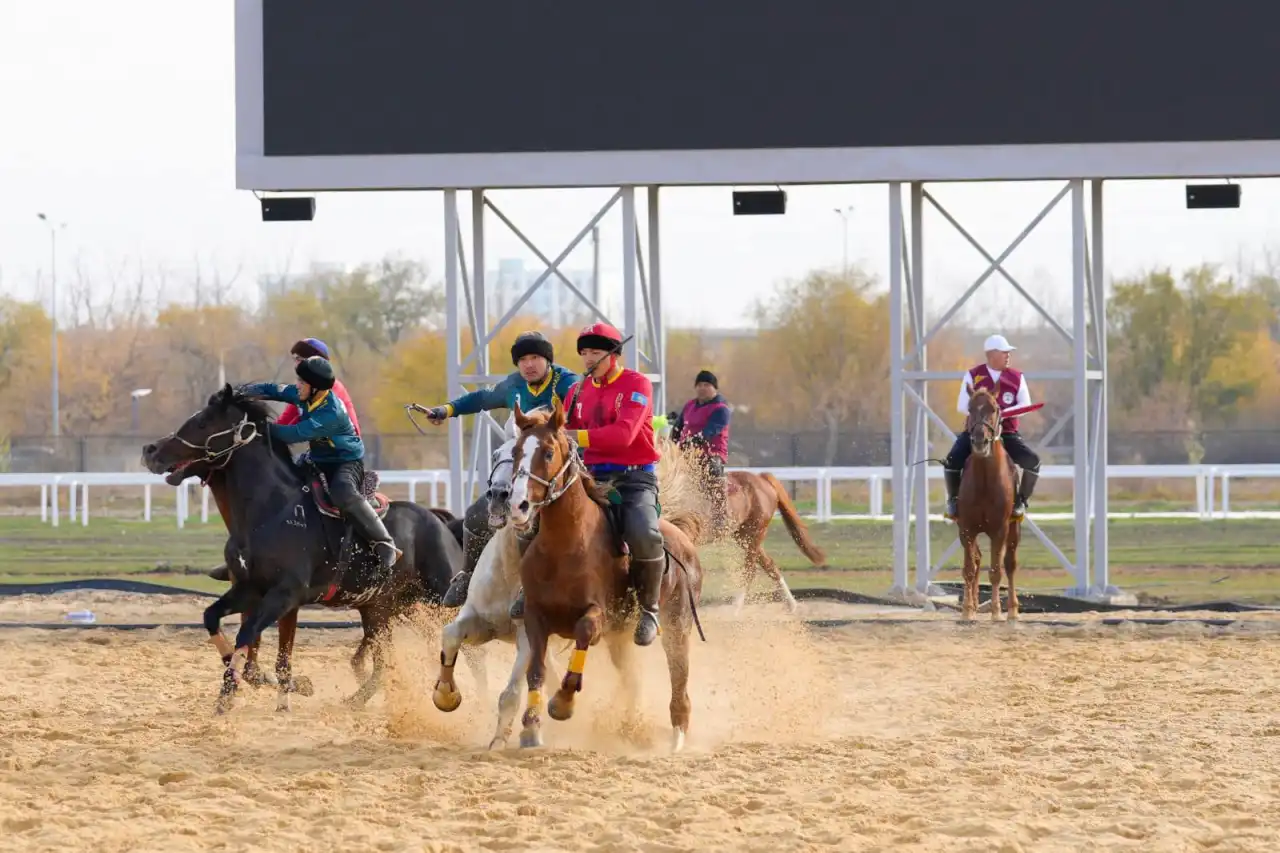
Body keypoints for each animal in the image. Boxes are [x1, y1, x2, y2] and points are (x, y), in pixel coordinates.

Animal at [141, 384, 471, 712]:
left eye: (203, 422)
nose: (150, 450)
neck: (269, 512)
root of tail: (440, 523)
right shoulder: (250, 589)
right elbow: (214, 620)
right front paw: (232, 690)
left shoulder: (285, 595)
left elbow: (251, 637)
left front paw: (279, 686)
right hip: (380, 609)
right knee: (383, 663)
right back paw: (354, 700)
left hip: (439, 601)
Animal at [504, 399, 706, 753]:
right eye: (516, 451)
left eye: (547, 452)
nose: (519, 506)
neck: (564, 544)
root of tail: (682, 537)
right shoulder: (534, 616)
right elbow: (536, 671)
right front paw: (530, 727)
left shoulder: (598, 615)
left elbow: (582, 634)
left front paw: (563, 703)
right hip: (620, 640)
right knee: (632, 680)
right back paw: (630, 726)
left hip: (677, 627)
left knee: (679, 678)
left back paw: (677, 737)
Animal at [957, 384, 1024, 617]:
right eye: (970, 408)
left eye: (994, 408)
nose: (979, 440)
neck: (985, 480)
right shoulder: (966, 528)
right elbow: (969, 568)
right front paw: (967, 610)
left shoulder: (1000, 529)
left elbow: (996, 571)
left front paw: (996, 611)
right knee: (977, 559)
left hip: (1014, 529)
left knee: (1010, 563)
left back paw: (1012, 609)